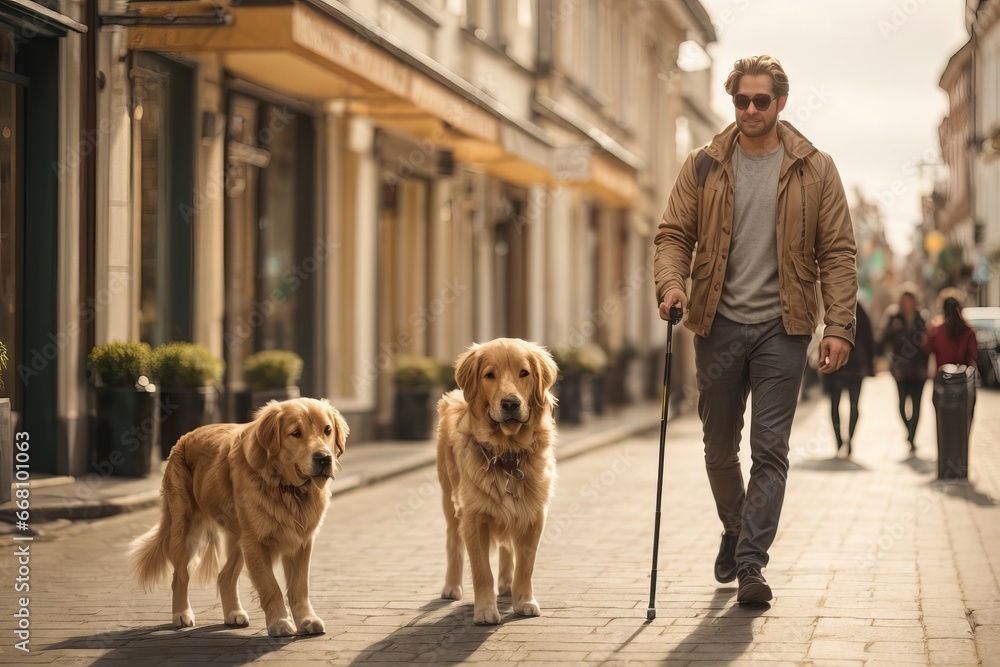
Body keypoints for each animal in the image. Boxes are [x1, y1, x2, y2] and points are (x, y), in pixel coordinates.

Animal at [127, 396, 350, 636]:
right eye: (296, 433)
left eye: (327, 430)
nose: (324, 458)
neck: (285, 487)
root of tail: (184, 437)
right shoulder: (256, 542)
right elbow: (271, 586)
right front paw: (280, 622)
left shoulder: (301, 542)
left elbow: (300, 587)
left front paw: (307, 619)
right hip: (186, 529)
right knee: (180, 576)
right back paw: (181, 614)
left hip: (239, 538)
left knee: (224, 576)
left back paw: (233, 613)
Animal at [438, 340, 564, 628]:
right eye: (489, 375)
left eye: (524, 373)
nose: (510, 403)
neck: (508, 452)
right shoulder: (474, 517)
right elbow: (482, 570)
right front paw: (485, 610)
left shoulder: (533, 515)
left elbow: (526, 565)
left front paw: (524, 601)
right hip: (449, 499)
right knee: (452, 541)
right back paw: (452, 586)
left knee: (507, 548)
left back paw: (507, 585)